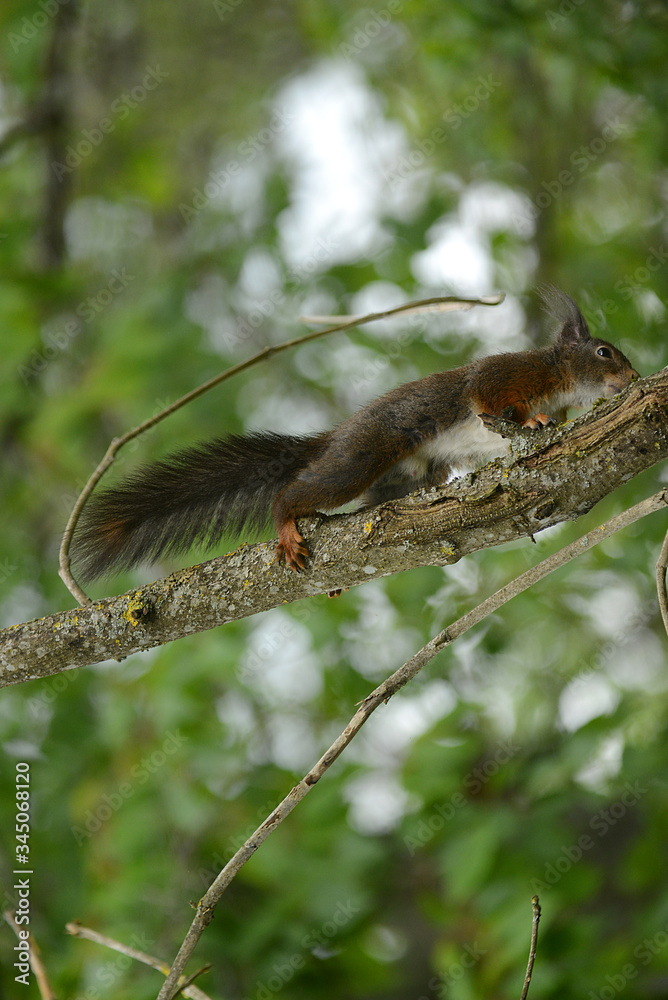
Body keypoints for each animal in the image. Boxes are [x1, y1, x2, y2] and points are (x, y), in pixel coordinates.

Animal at [72, 286, 636, 584]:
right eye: (604, 352)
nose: (631, 376)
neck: (556, 379)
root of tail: (336, 436)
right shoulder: (505, 375)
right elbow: (485, 398)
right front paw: (533, 422)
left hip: (404, 478)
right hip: (361, 457)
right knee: (295, 491)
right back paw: (286, 523)